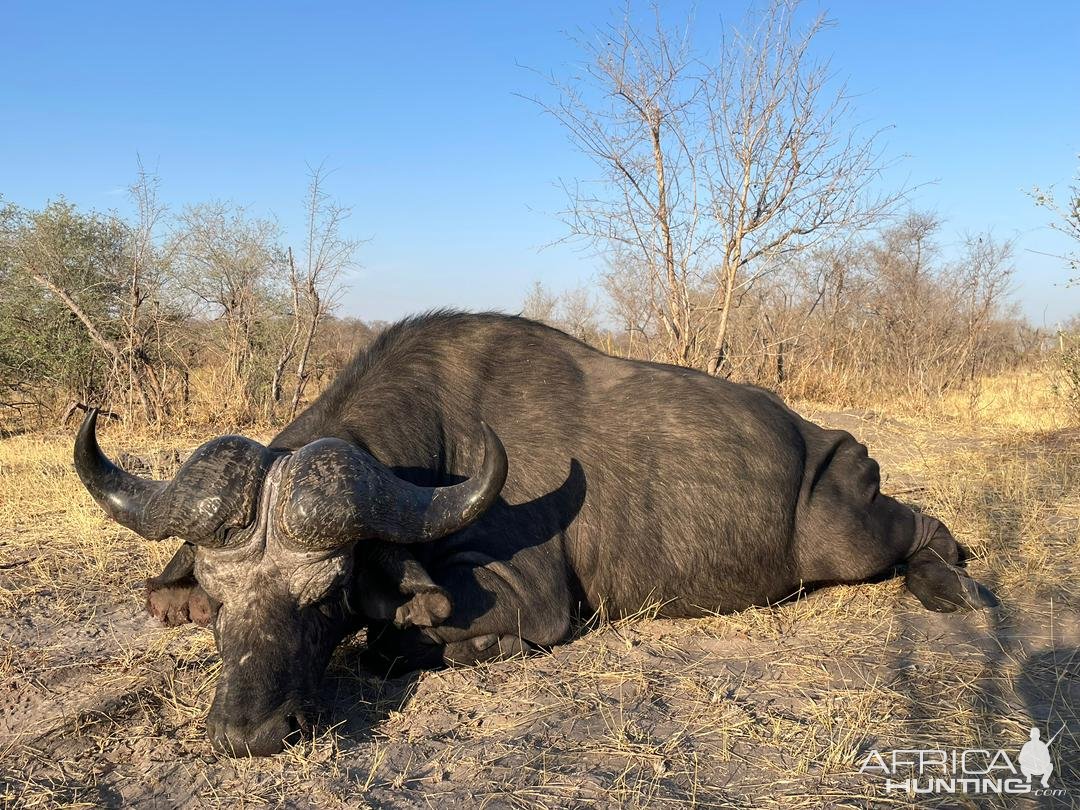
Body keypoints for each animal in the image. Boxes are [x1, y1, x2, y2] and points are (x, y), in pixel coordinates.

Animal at [71, 308, 993, 756]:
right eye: (217, 600)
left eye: (325, 595)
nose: (249, 735)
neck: (442, 447)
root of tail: (828, 440)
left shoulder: (534, 598)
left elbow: (398, 638)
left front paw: (461, 646)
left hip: (851, 536)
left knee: (925, 527)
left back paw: (957, 586)